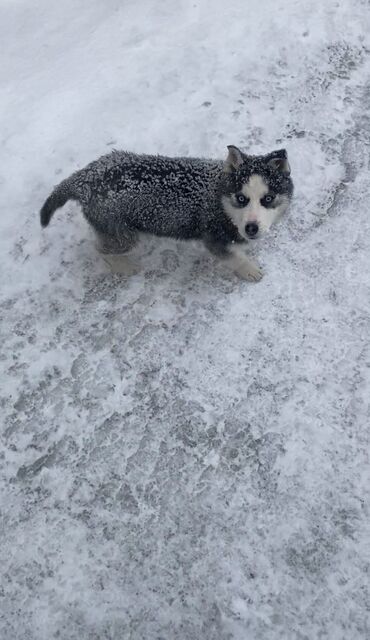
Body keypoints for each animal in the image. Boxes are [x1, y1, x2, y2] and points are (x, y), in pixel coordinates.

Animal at [40, 149, 294, 284]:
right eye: (241, 198)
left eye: (268, 199)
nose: (251, 228)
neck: (219, 200)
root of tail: (86, 177)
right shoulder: (214, 238)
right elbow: (234, 257)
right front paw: (248, 269)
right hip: (122, 233)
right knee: (101, 248)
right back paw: (123, 266)